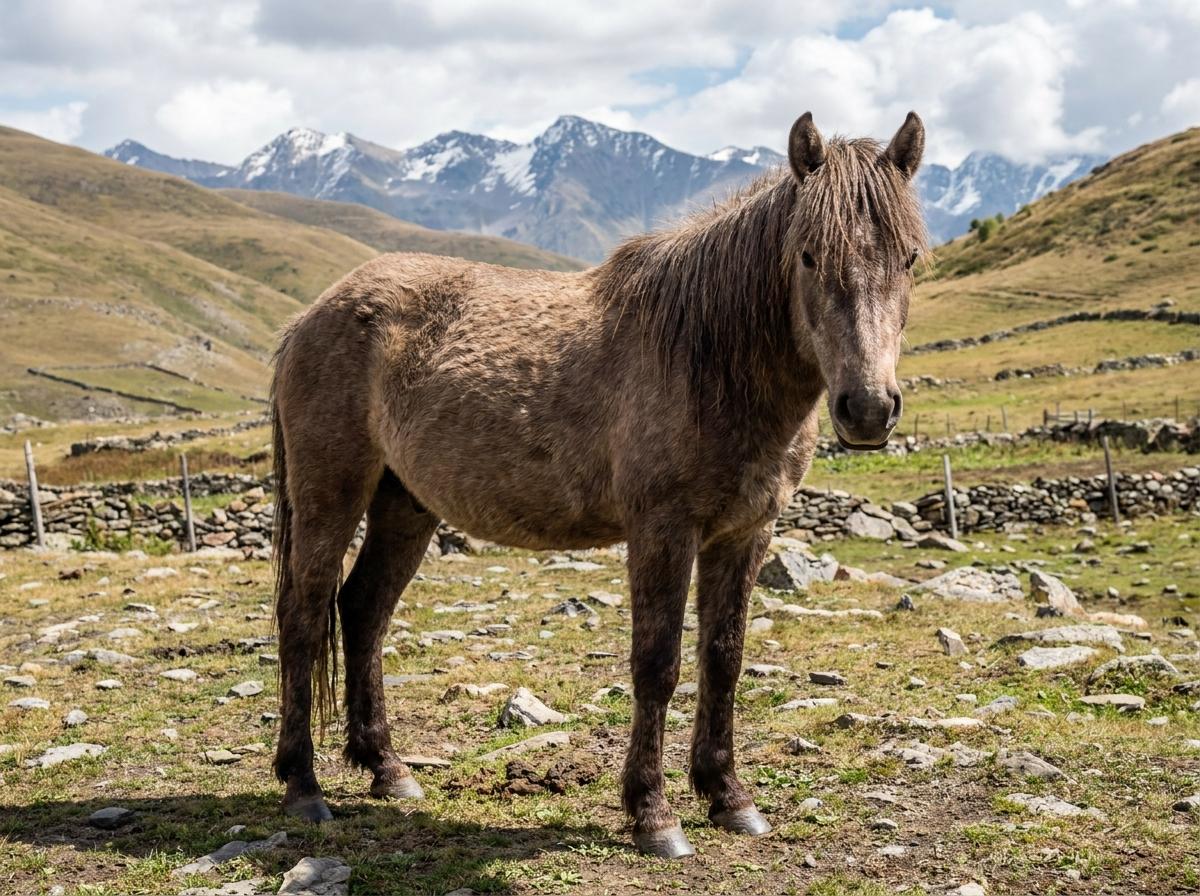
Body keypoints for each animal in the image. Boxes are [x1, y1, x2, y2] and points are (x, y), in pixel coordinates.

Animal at [268, 110, 927, 858]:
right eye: (810, 256)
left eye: (909, 258)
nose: (868, 409)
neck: (708, 355)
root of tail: (311, 316)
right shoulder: (662, 530)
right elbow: (658, 663)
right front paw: (654, 815)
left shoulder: (745, 533)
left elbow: (723, 658)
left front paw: (729, 797)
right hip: (331, 495)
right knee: (302, 615)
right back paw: (303, 785)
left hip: (404, 504)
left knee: (363, 610)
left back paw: (387, 769)